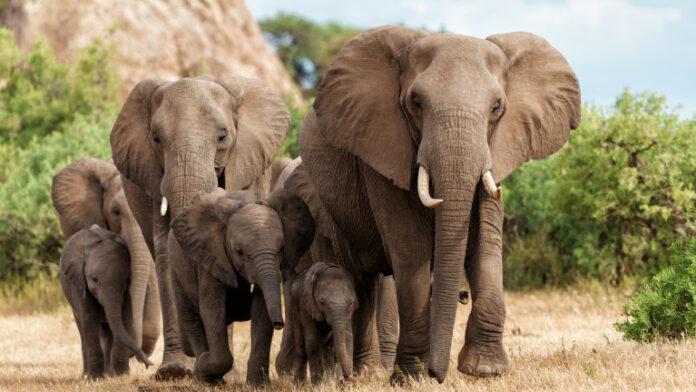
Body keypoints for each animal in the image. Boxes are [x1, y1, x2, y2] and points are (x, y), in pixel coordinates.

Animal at [59, 225, 152, 378]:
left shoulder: (126, 292)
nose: (149, 365)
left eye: (126, 281)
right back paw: (86, 375)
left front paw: (120, 375)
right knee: (82, 329)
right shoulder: (78, 282)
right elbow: (89, 319)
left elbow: (124, 317)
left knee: (107, 331)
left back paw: (109, 373)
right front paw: (95, 378)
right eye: (94, 280)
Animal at [170, 188, 314, 384]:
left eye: (281, 249)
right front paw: (203, 366)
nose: (279, 324)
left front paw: (257, 385)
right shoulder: (211, 256)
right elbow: (212, 310)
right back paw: (203, 375)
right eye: (239, 252)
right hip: (176, 270)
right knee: (192, 319)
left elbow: (261, 310)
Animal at [302, 25, 580, 382]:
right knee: (361, 280)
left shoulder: (496, 150)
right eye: (416, 103)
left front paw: (484, 369)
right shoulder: (383, 146)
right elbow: (410, 246)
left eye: (497, 107)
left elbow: (486, 243)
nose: (439, 373)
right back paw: (365, 374)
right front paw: (412, 377)